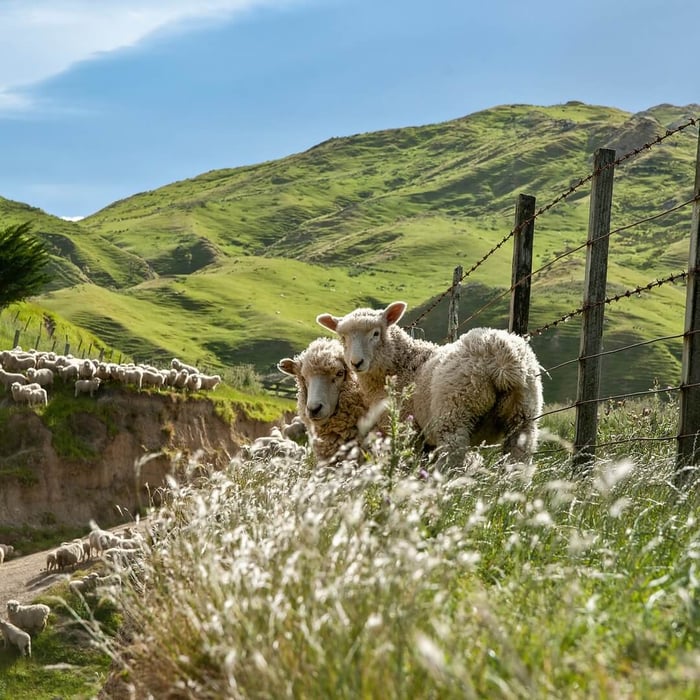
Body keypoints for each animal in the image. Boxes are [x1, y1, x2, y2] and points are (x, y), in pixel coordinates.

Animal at [317, 301, 544, 468]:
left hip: (455, 412)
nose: (356, 363)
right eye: (343, 337)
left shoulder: (407, 426)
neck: (402, 364)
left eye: (375, 333)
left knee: (453, 458)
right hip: (523, 413)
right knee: (520, 457)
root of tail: (501, 355)